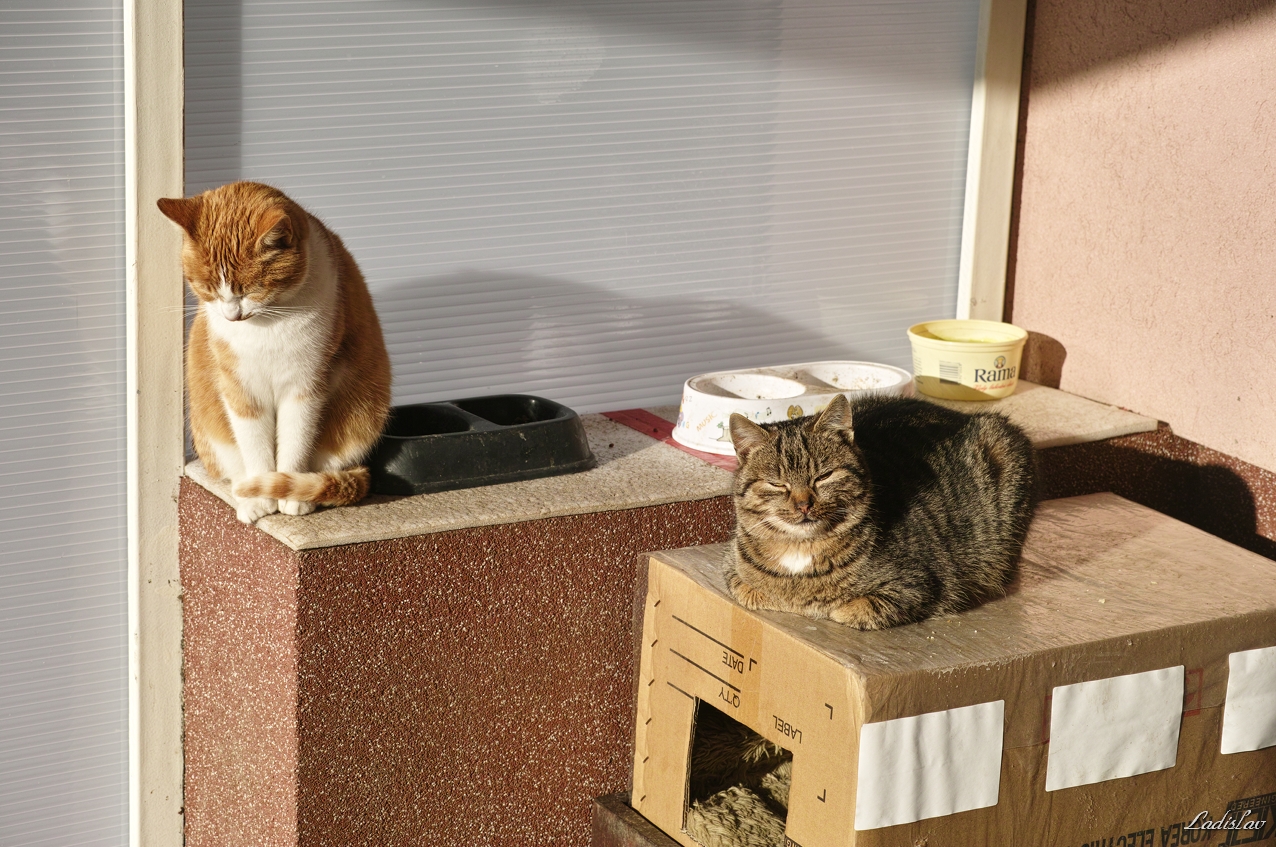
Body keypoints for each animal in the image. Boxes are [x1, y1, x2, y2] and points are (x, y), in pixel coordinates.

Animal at [158, 181, 391, 524]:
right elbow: (255, 445)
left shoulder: (305, 387)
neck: (267, 324)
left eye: (252, 290)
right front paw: (261, 496)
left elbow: (295, 443)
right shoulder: (241, 389)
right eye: (208, 290)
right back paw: (246, 496)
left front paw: (289, 494)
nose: (232, 316)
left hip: (363, 416)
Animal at [724, 392, 1035, 630]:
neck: (800, 551)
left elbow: (850, 609)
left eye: (824, 476)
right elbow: (745, 588)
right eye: (777, 484)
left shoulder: (920, 585)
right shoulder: (731, 569)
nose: (803, 504)